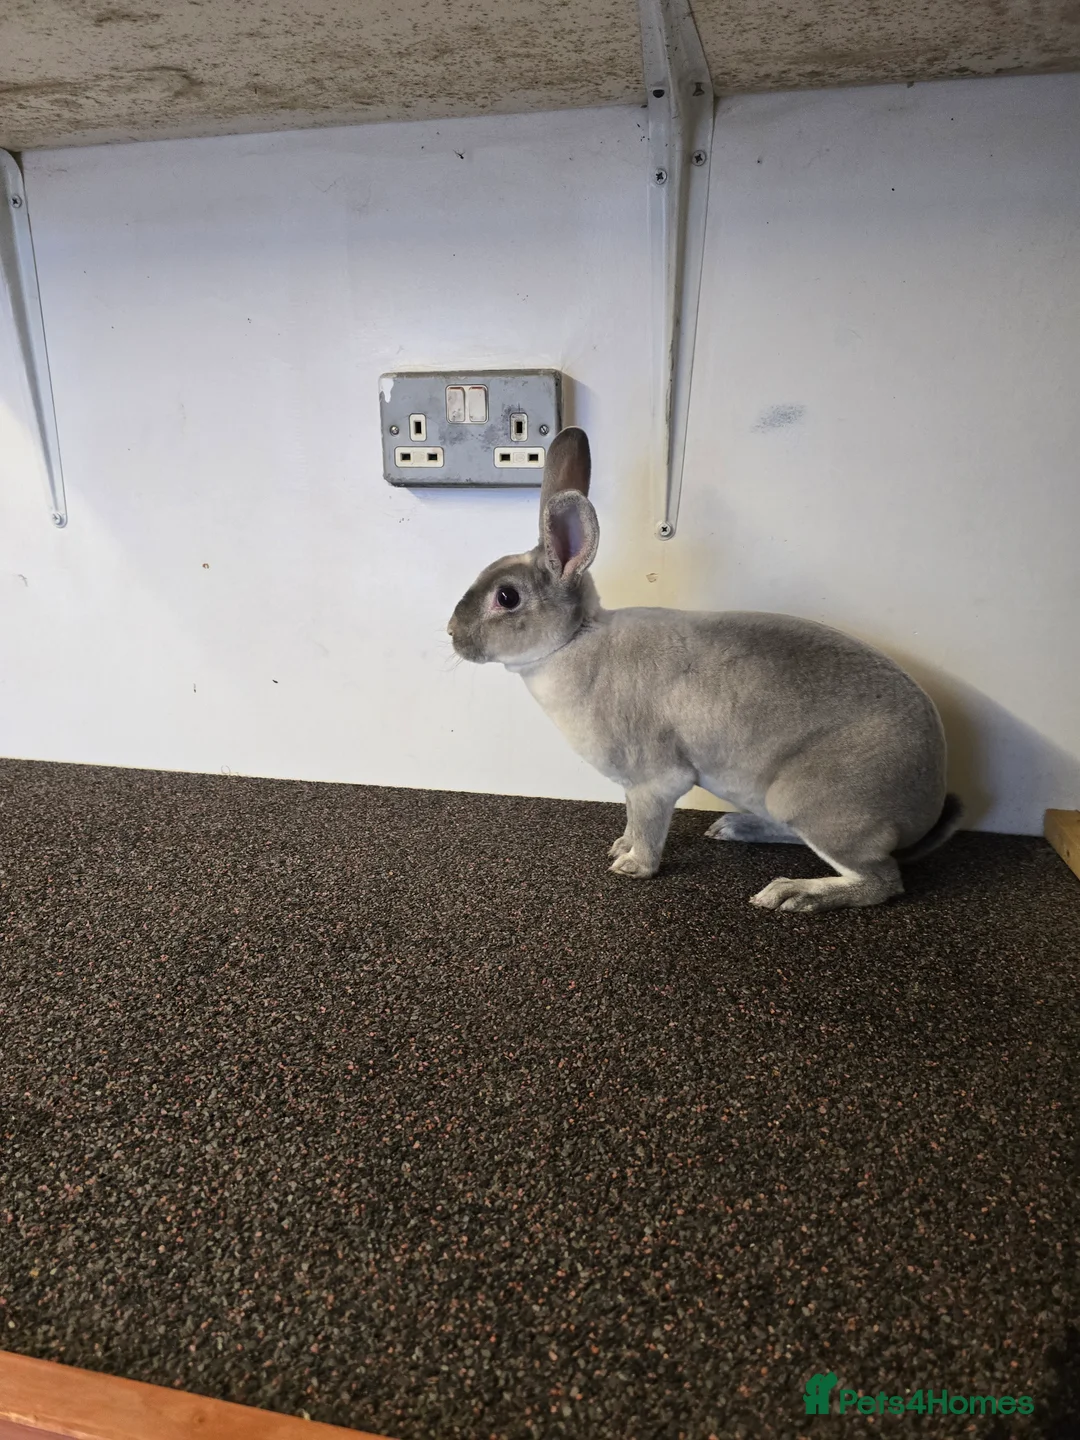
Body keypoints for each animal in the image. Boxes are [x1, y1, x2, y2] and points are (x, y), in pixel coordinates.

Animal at [447, 427, 962, 912]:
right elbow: (630, 817)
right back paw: (734, 828)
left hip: (820, 806)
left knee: (881, 880)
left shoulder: (655, 780)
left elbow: (648, 825)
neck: (574, 640)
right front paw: (619, 846)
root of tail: (928, 799)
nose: (452, 633)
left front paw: (632, 865)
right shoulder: (634, 788)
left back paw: (794, 893)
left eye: (506, 597)